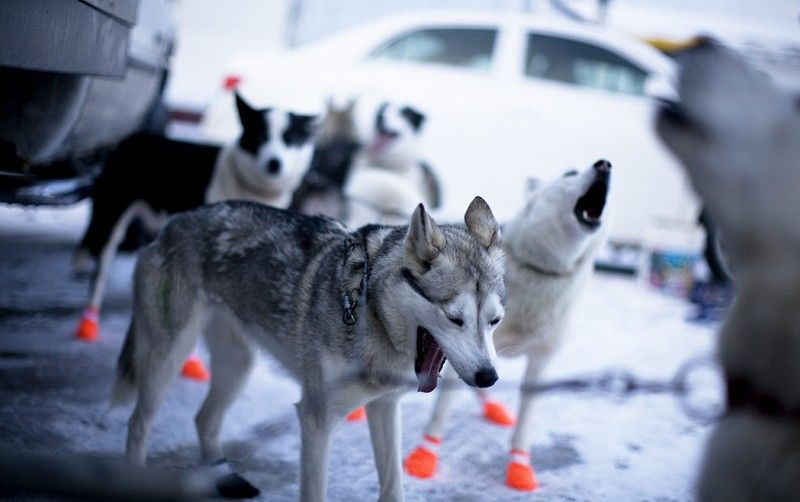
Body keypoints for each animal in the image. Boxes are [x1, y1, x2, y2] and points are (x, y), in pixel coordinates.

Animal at [111, 198, 506, 500]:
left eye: (495, 321)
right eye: (454, 319)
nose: (488, 377)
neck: (372, 316)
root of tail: (172, 223)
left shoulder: (384, 407)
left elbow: (393, 486)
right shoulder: (316, 420)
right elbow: (315, 490)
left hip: (238, 365)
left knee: (204, 419)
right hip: (169, 359)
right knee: (137, 423)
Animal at [406, 160, 612, 490]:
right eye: (570, 173)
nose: (604, 164)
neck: (543, 271)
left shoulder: (539, 361)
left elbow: (524, 423)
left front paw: (519, 466)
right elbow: (441, 410)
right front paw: (425, 456)